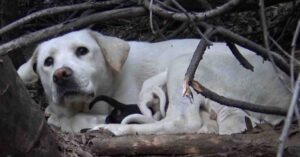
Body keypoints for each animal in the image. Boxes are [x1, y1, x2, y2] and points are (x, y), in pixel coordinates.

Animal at [17, 29, 292, 134]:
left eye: (82, 51)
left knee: (181, 122)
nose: (61, 75)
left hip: (185, 66)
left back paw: (115, 129)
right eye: (48, 62)